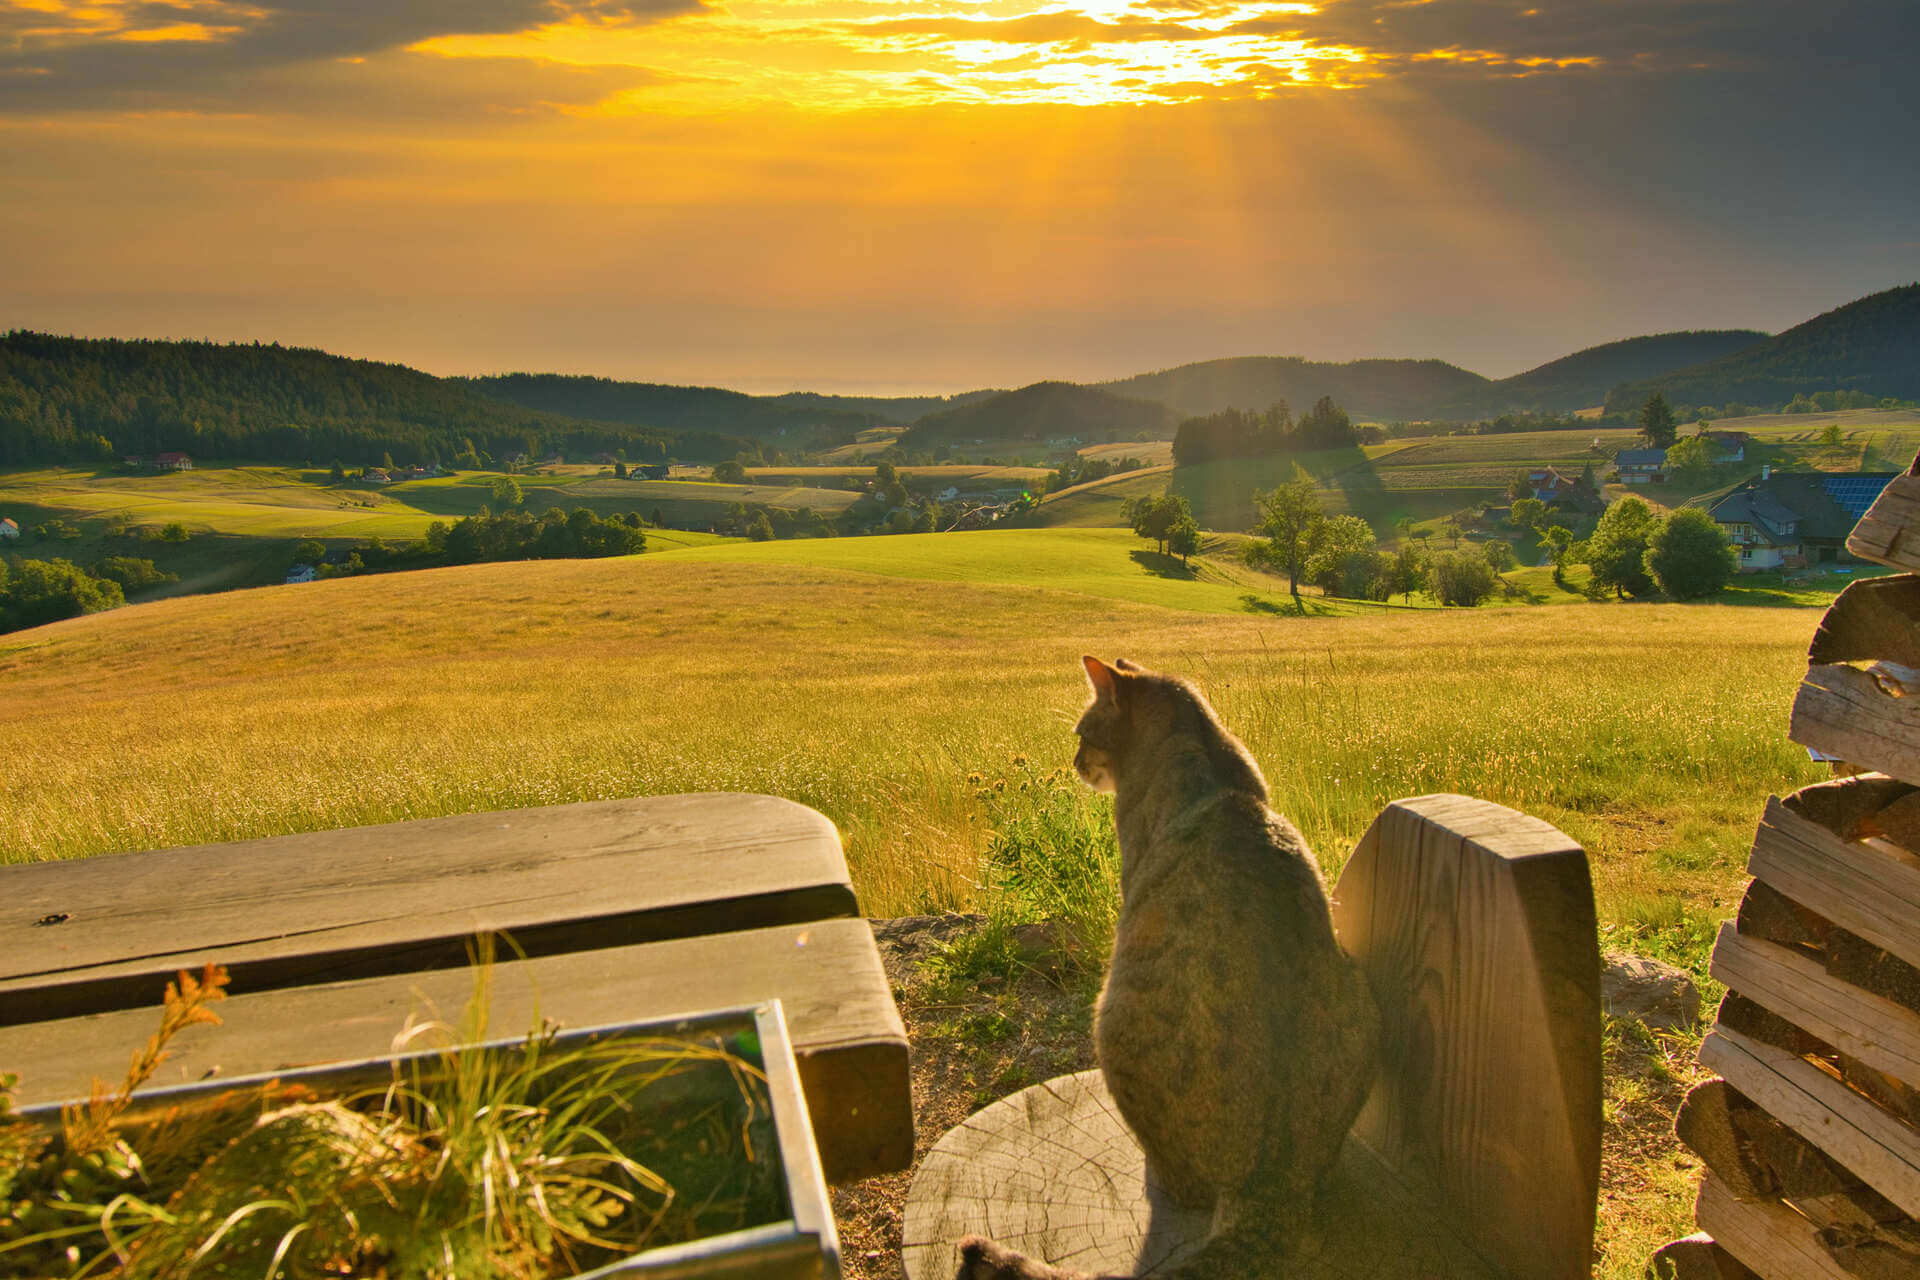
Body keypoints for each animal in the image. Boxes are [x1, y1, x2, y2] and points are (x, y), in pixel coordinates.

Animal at [960, 660, 1382, 1280]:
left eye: (1083, 733)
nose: (1076, 763)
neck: (1195, 741)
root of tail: (1272, 1184)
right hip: (1364, 998)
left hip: (1111, 1022)